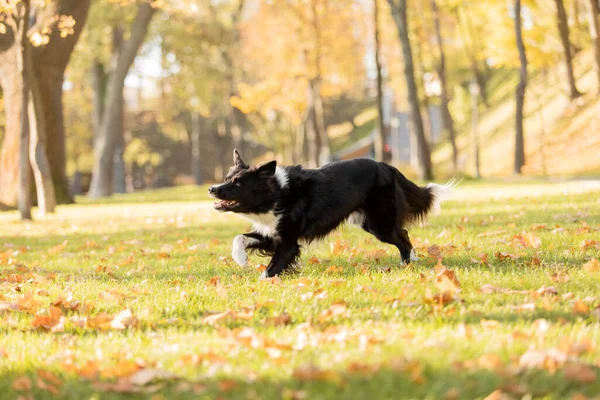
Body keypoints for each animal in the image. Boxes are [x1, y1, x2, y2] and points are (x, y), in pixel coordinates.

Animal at [209, 149, 452, 278]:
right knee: (403, 232)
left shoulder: (288, 243)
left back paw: (407, 261)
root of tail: (386, 166)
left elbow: (271, 269)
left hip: (379, 224)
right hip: (370, 222)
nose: (211, 189)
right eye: (227, 177)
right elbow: (239, 238)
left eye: (238, 183)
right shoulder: (272, 235)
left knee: (401, 235)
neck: (277, 193)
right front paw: (240, 258)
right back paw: (410, 260)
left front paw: (262, 282)